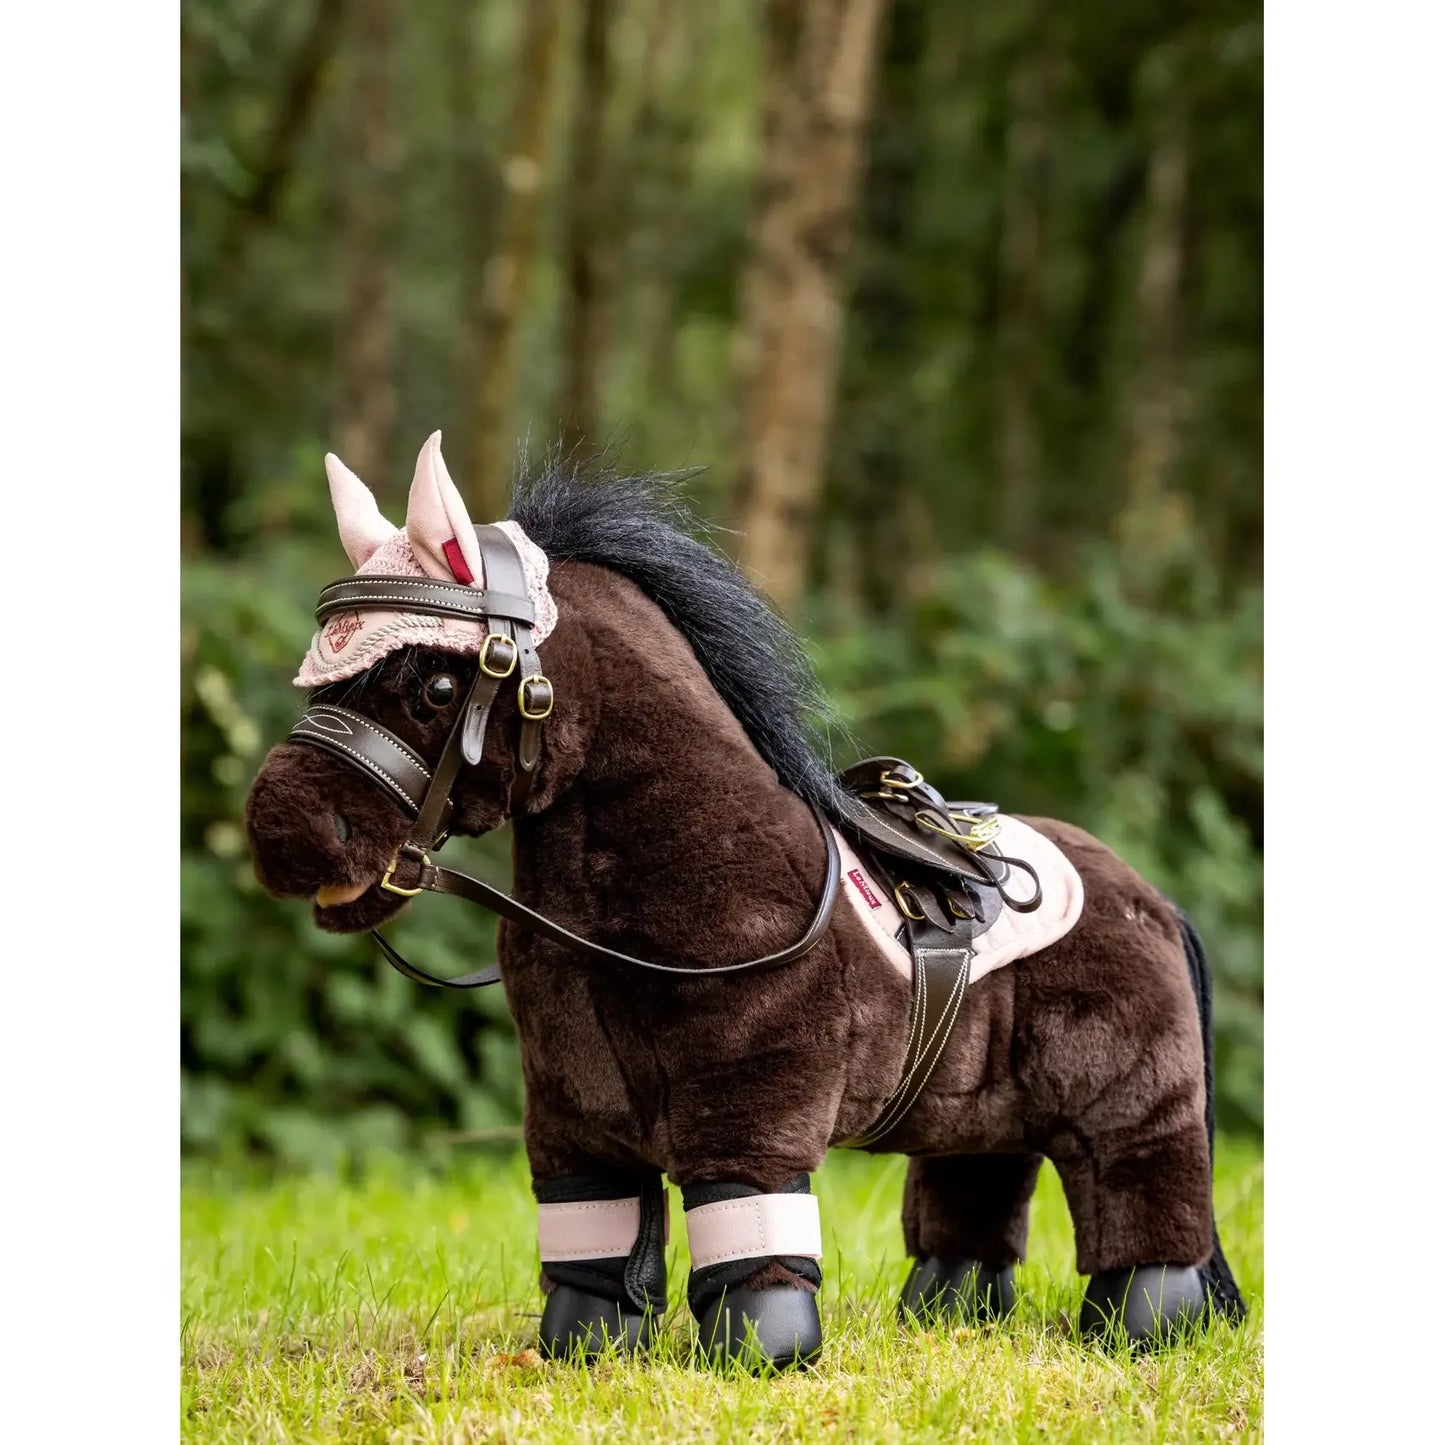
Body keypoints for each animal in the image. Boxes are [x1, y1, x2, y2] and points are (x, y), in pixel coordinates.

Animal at [245, 432, 1247, 1371]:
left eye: (439, 682)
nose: (276, 826)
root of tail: (1150, 894)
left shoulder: (749, 1105)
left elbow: (746, 1226)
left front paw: (765, 1353)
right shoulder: (571, 1113)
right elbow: (593, 1245)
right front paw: (583, 1348)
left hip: (1131, 1103)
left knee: (1143, 1208)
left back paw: (1139, 1328)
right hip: (979, 1113)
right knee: (976, 1194)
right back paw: (948, 1315)